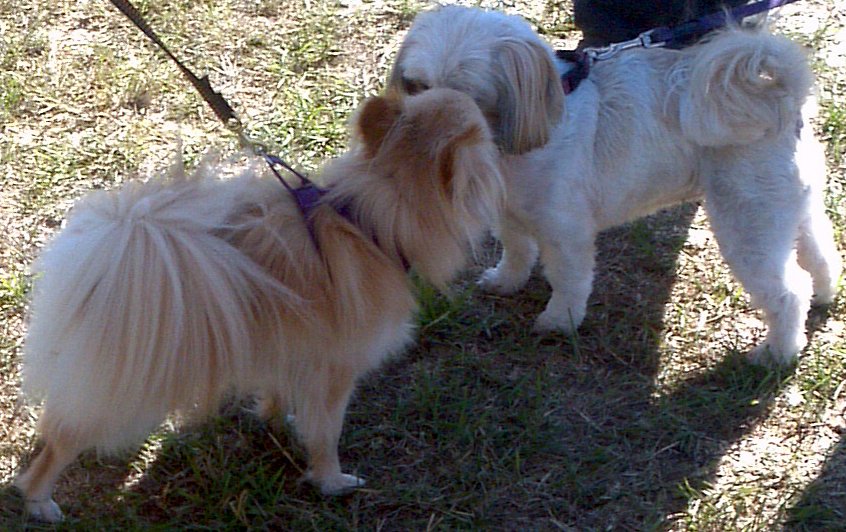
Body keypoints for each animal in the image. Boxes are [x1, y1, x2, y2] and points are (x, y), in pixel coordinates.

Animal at [14, 88, 504, 524]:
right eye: (484, 129)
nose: (500, 128)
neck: (371, 223)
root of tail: (116, 242)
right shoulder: (338, 369)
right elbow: (327, 433)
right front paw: (331, 481)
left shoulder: (290, 346)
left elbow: (280, 391)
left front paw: (275, 418)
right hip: (127, 382)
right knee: (61, 440)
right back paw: (39, 501)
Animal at [390, 6, 840, 366]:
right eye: (417, 86)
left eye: (470, 101)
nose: (423, 132)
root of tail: (778, 98)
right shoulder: (510, 214)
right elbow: (517, 251)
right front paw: (506, 281)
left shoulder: (566, 233)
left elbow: (568, 280)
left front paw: (559, 321)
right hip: (792, 212)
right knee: (819, 255)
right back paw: (824, 294)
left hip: (747, 226)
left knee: (788, 292)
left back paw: (777, 354)